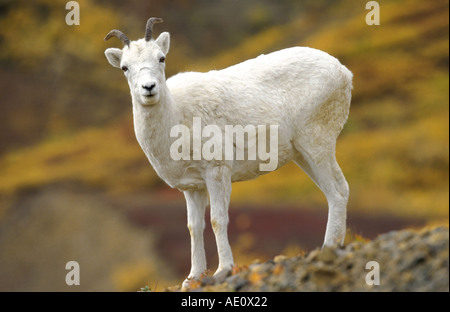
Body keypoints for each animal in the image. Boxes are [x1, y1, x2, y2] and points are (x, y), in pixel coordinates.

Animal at [103, 17, 354, 288]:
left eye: (161, 58)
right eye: (125, 67)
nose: (148, 88)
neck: (177, 116)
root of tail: (343, 71)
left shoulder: (217, 172)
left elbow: (217, 220)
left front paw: (223, 269)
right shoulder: (192, 187)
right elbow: (194, 227)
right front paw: (193, 278)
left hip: (317, 144)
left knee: (337, 191)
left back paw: (328, 248)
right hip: (302, 155)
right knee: (335, 192)